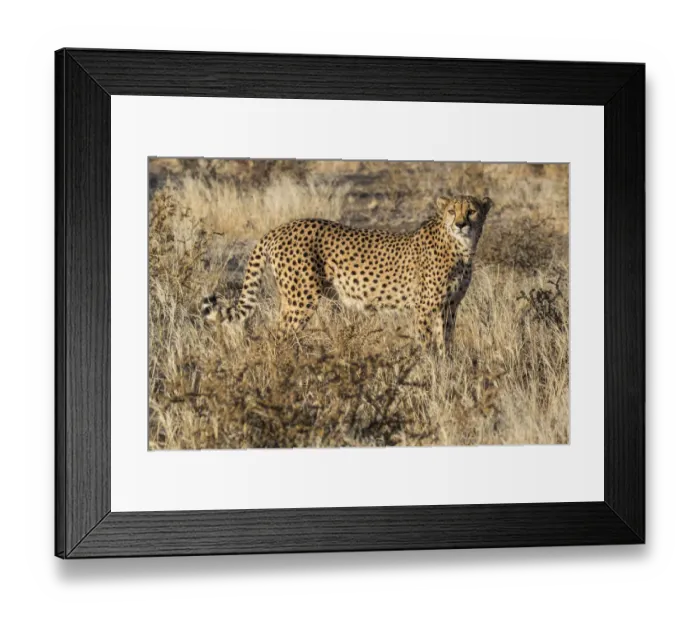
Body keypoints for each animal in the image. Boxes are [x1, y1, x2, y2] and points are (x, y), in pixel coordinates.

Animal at [202, 195, 493, 353]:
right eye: (452, 211)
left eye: (472, 211)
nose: (461, 224)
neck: (461, 247)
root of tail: (279, 228)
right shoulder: (424, 307)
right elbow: (427, 345)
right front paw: (429, 372)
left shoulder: (450, 306)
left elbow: (446, 343)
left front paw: (446, 369)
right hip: (301, 300)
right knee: (277, 335)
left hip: (291, 299)